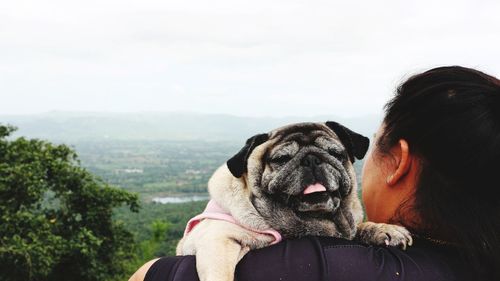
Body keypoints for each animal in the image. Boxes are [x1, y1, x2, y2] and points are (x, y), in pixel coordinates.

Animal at [178, 120, 412, 280]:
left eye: (335, 153)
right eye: (281, 159)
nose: (311, 159)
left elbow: (359, 228)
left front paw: (384, 229)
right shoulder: (216, 240)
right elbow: (221, 275)